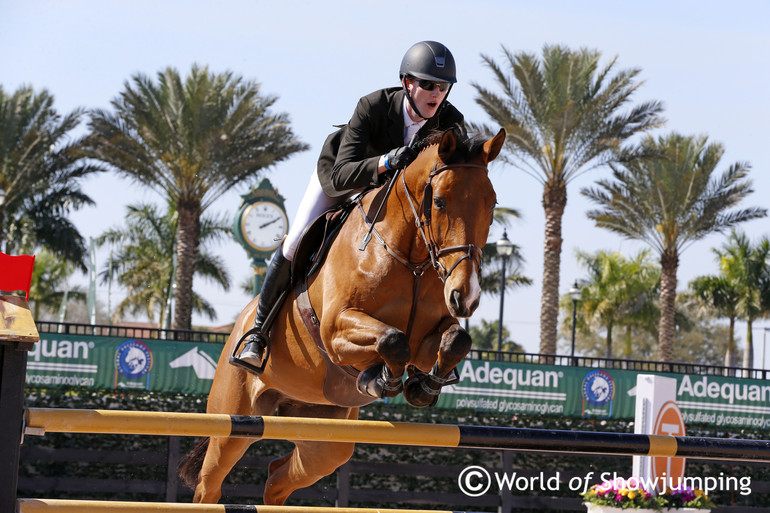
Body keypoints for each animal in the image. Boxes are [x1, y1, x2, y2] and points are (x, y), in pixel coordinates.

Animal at [178, 127, 504, 504]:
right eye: (439, 202)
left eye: (491, 204)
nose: (466, 296)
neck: (410, 260)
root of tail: (237, 327)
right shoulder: (335, 331)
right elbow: (393, 340)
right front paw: (381, 380)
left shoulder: (428, 338)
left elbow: (455, 340)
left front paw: (422, 387)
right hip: (233, 422)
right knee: (210, 483)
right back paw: (253, 348)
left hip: (323, 435)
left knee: (278, 477)